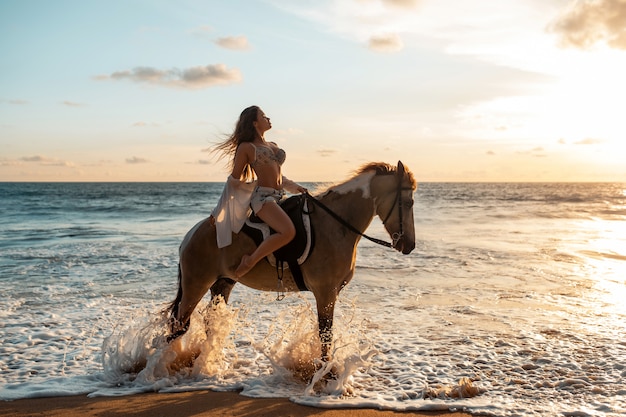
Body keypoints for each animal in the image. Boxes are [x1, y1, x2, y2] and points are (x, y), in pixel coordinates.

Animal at [167, 161, 414, 362]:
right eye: (409, 202)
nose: (409, 245)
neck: (336, 224)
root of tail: (190, 235)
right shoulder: (325, 292)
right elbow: (325, 335)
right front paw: (325, 376)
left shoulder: (329, 293)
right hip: (195, 285)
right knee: (178, 326)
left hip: (222, 283)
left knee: (209, 321)